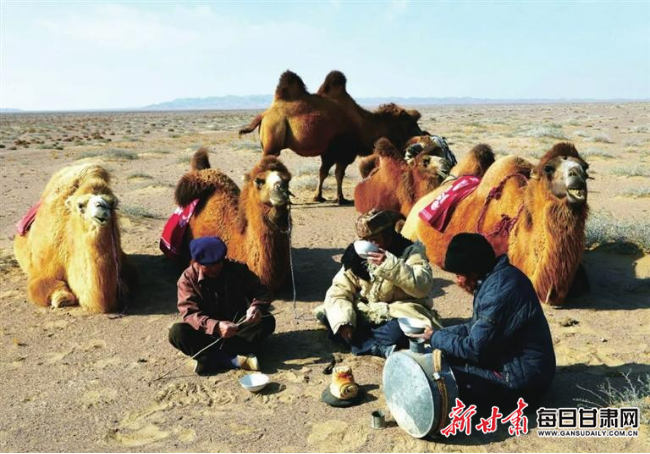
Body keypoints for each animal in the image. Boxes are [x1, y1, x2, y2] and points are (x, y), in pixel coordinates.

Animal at [14, 164, 136, 313]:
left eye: (112, 204)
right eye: (80, 205)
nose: (102, 207)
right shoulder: (41, 271)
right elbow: (42, 289)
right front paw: (61, 298)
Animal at [239, 70, 424, 205]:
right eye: (410, 123)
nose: (424, 134)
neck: (363, 124)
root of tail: (264, 115)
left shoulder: (329, 151)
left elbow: (323, 172)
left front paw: (319, 197)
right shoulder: (343, 151)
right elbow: (338, 173)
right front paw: (341, 198)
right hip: (273, 137)